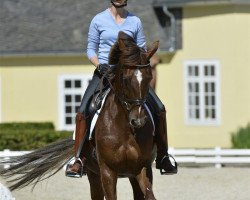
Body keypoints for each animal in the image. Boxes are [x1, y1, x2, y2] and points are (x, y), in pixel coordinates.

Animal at [0, 31, 159, 200]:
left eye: (149, 78)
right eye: (126, 79)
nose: (138, 120)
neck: (125, 129)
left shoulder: (142, 168)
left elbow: (149, 195)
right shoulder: (107, 171)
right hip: (93, 173)